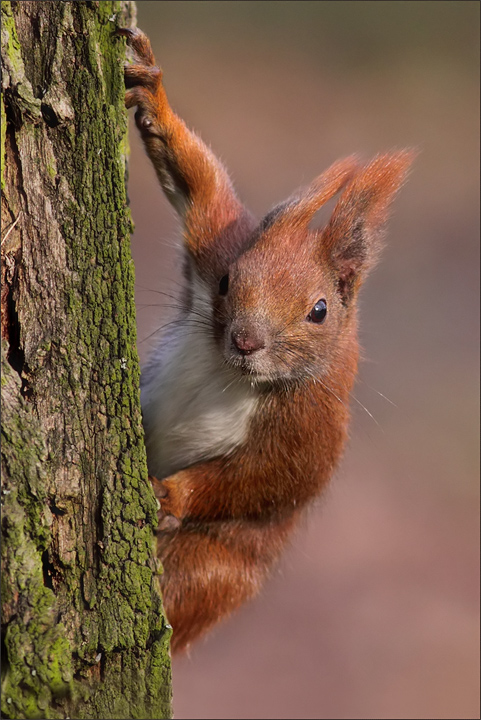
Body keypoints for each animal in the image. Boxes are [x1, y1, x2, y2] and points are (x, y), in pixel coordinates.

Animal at [117, 26, 412, 652]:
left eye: (320, 311)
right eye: (230, 281)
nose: (245, 341)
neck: (234, 372)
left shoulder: (313, 424)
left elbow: (269, 481)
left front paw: (172, 495)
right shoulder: (214, 248)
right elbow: (202, 189)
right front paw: (153, 94)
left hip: (215, 569)